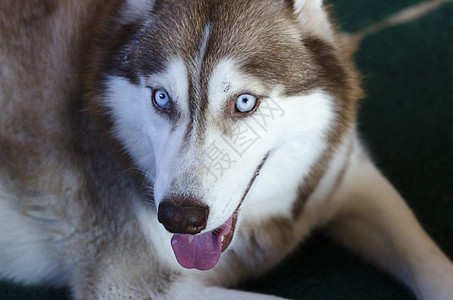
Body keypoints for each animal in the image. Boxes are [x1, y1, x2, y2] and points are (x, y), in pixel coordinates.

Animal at [0, 0, 452, 298]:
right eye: (161, 98)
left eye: (245, 102)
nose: (179, 218)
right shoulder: (127, 283)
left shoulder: (347, 175)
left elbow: (429, 261)